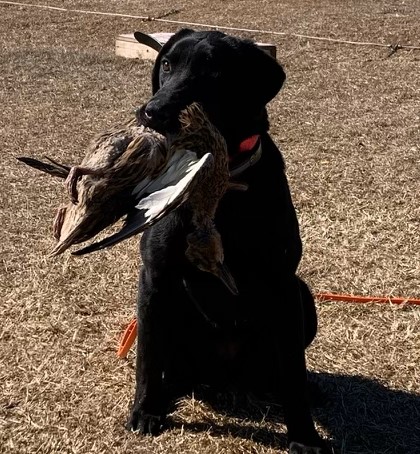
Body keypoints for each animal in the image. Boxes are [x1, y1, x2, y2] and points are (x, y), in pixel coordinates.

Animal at [128, 29, 328, 454]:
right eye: (166, 63)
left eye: (214, 72)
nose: (152, 112)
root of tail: (223, 378)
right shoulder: (155, 277)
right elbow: (148, 356)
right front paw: (146, 410)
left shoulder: (283, 283)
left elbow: (294, 373)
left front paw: (304, 437)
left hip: (302, 296)